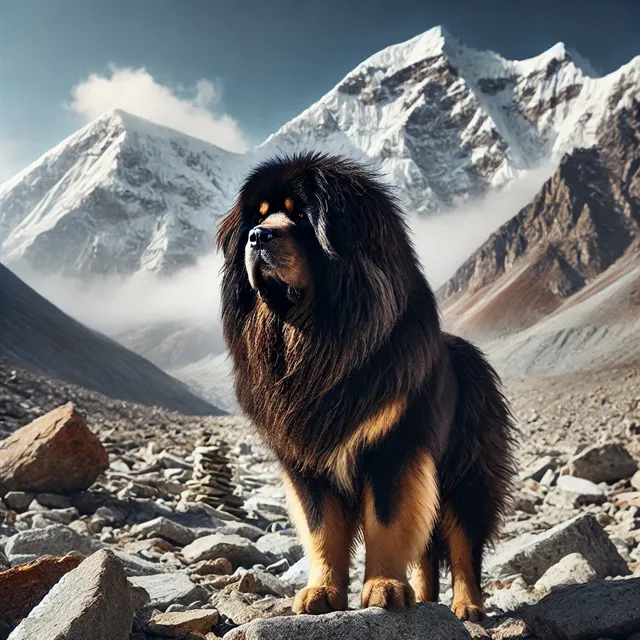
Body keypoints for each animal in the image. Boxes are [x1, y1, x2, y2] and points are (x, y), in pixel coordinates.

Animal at [218, 151, 516, 620]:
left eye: (300, 215)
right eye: (260, 216)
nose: (257, 236)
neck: (315, 339)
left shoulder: (394, 448)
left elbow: (388, 522)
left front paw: (383, 588)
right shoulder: (305, 460)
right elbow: (322, 530)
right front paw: (320, 592)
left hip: (467, 475)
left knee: (464, 545)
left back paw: (467, 607)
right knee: (429, 551)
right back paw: (426, 598)